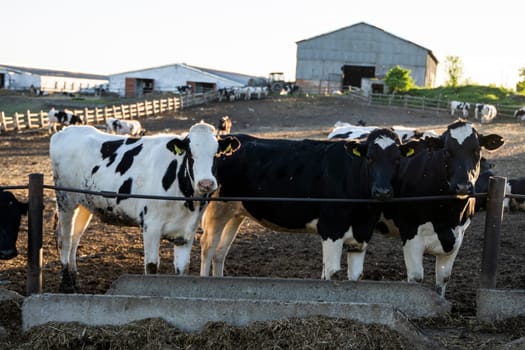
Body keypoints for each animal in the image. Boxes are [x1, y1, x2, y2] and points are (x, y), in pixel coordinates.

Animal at [50, 121, 238, 292]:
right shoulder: (151, 226)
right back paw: (67, 285)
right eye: (190, 154)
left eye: (217, 154)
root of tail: (65, 131)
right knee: (64, 240)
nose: (206, 183)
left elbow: (182, 268)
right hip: (65, 201)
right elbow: (152, 266)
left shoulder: (186, 232)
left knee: (75, 238)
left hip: (84, 204)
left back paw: (75, 280)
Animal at [199, 130, 420, 280]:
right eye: (370, 158)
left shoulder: (362, 234)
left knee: (220, 252)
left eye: (397, 159)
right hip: (216, 209)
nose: (382, 191)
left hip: (235, 211)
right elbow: (331, 272)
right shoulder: (331, 229)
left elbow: (355, 275)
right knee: (208, 247)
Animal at [376, 119, 504, 296]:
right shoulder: (410, 233)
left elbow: (443, 277)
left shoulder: (458, 236)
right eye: (447, 152)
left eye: (476, 151)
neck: (448, 215)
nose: (462, 187)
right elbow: (416, 278)